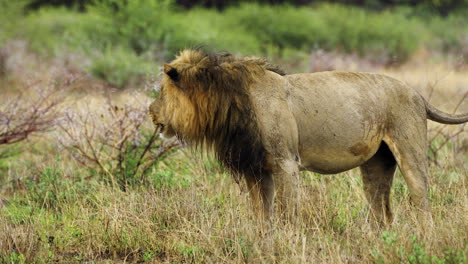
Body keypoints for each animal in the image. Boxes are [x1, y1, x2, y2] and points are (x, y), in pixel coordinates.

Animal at [151, 50, 468, 227]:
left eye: (162, 91)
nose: (151, 112)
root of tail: (417, 94)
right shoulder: (256, 169)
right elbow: (261, 215)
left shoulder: (286, 163)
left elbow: (286, 213)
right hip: (376, 164)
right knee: (382, 212)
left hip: (409, 152)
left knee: (422, 205)